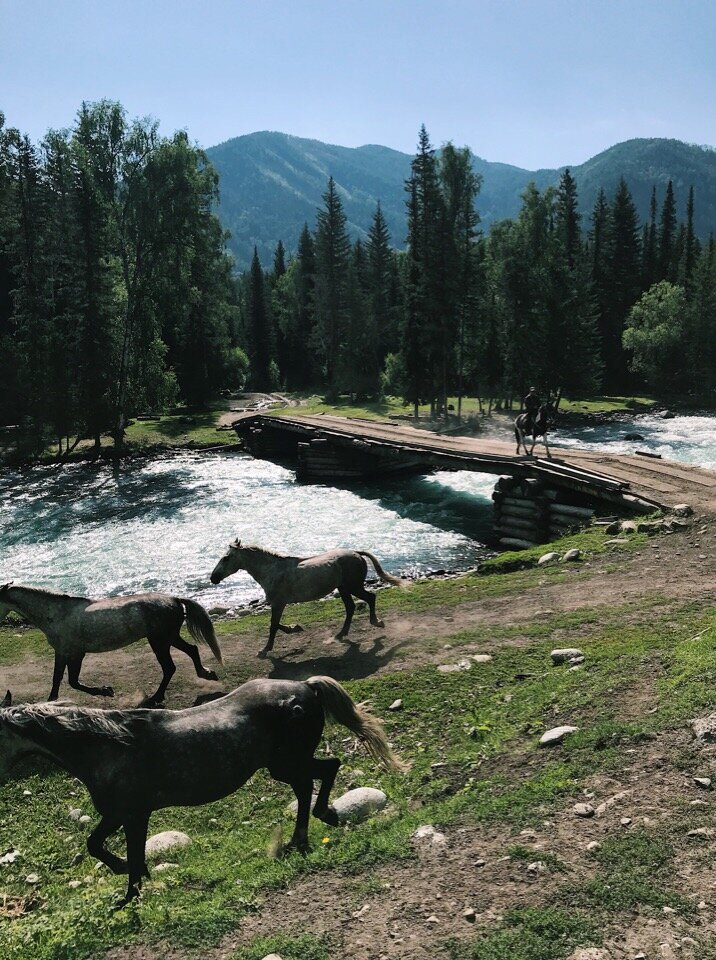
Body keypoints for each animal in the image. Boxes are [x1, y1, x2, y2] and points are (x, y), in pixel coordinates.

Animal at [0, 576, 222, 704]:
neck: (56, 614)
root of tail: (175, 599)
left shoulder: (73, 653)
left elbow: (71, 681)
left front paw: (106, 691)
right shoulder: (64, 652)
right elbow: (60, 680)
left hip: (159, 642)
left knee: (169, 667)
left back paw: (156, 697)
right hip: (169, 638)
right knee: (192, 650)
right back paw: (207, 674)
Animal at [0, 680, 402, 904]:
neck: (107, 746)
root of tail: (306, 686)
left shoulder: (127, 813)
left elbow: (104, 848)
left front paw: (129, 891)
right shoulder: (129, 815)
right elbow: (115, 849)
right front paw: (137, 881)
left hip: (287, 763)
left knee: (322, 774)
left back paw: (317, 823)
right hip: (284, 765)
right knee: (316, 779)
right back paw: (304, 834)